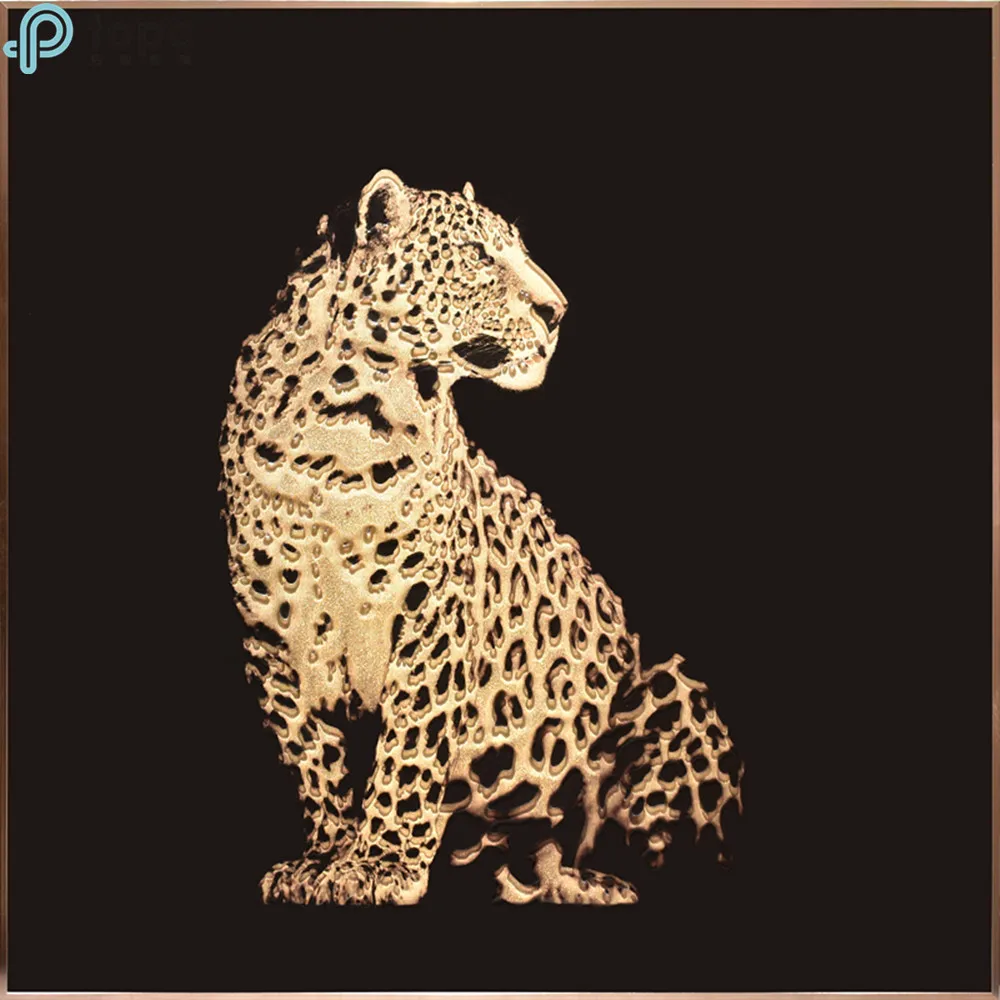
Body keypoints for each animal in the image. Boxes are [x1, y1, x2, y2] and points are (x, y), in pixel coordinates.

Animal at [218, 169, 744, 906]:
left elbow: (408, 749)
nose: (558, 309)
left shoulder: (433, 616)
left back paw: (593, 880)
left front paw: (382, 864)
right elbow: (312, 758)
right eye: (476, 256)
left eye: (518, 250)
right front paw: (325, 857)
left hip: (669, 686)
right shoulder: (272, 638)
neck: (341, 428)